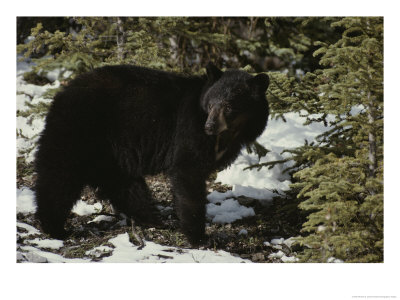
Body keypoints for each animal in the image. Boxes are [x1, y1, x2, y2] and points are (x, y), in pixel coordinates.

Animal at [34, 62, 268, 245]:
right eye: (210, 104)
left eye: (228, 106)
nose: (209, 126)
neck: (228, 135)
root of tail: (62, 93)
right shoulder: (189, 129)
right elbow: (187, 172)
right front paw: (199, 237)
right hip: (78, 129)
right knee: (59, 175)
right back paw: (53, 226)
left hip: (109, 151)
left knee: (123, 184)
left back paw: (152, 218)